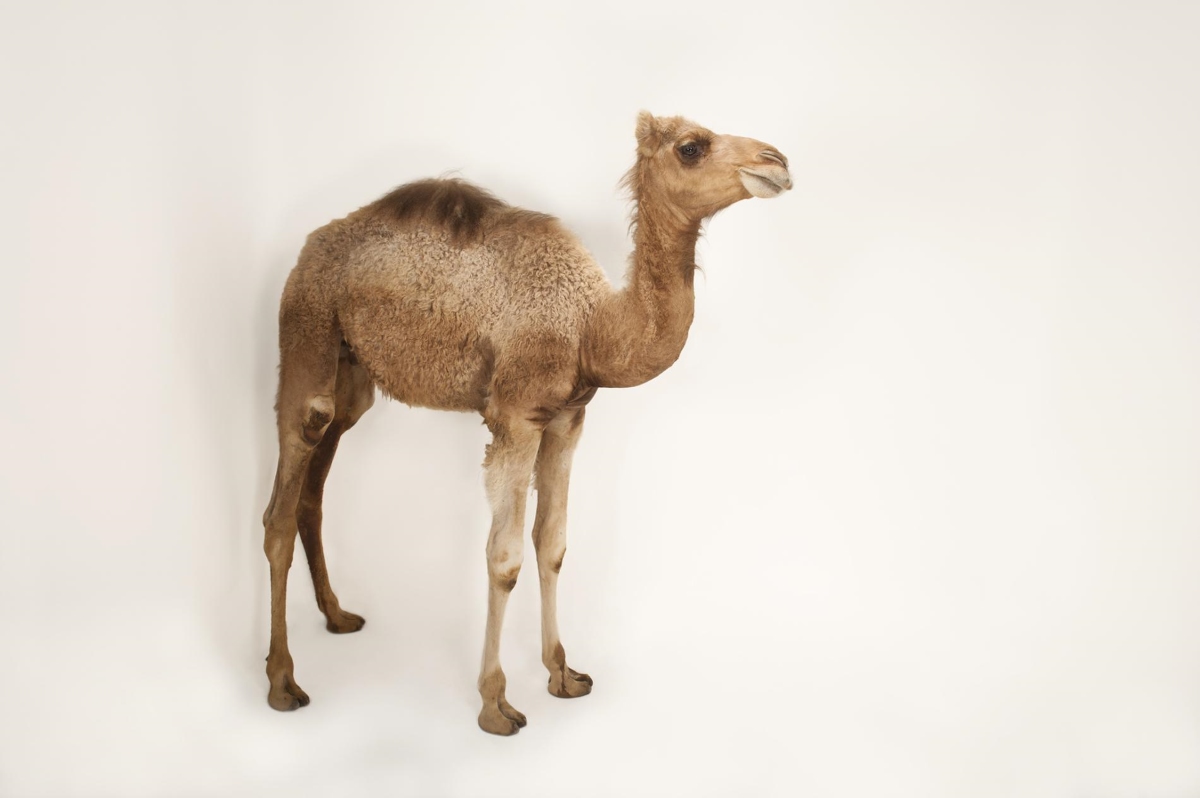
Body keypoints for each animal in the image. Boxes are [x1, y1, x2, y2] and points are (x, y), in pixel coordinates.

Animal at [262, 111, 792, 734]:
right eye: (691, 146)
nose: (776, 161)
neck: (590, 327)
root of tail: (308, 248)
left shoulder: (566, 419)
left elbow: (552, 544)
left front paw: (564, 674)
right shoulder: (513, 417)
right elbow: (504, 557)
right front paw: (496, 704)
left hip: (353, 379)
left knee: (312, 494)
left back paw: (339, 617)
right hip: (306, 335)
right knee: (280, 507)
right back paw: (283, 682)